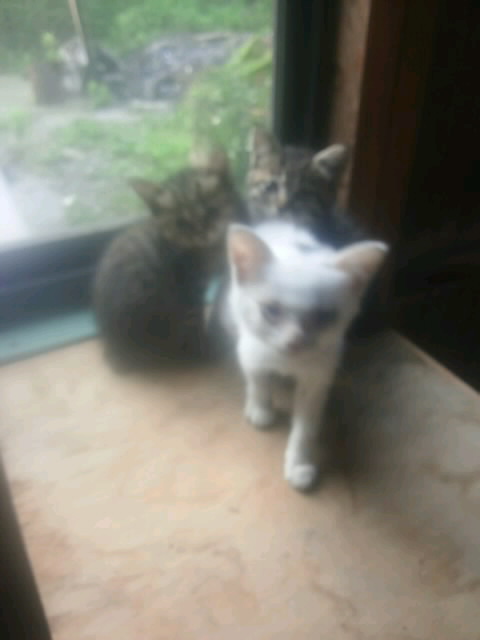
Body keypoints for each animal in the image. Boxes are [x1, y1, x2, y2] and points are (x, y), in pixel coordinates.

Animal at [93, 146, 247, 372]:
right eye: (181, 223)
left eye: (210, 210)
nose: (201, 232)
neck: (212, 248)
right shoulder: (187, 285)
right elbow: (195, 318)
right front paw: (204, 347)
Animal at [226, 219, 388, 491]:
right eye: (271, 310)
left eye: (324, 317)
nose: (295, 341)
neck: (287, 362)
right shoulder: (251, 347)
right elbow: (257, 378)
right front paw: (260, 408)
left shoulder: (318, 377)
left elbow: (306, 426)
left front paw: (298, 464)